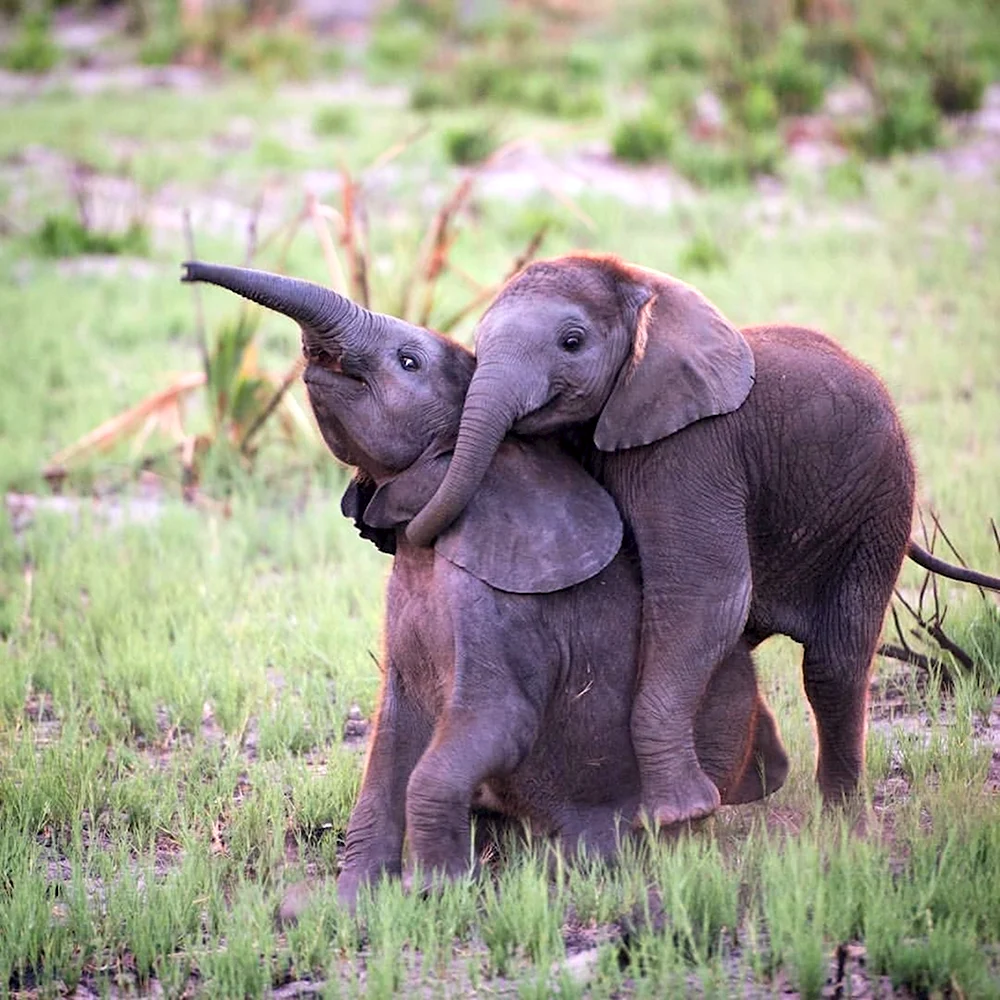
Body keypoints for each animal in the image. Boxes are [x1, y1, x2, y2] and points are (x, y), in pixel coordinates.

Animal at [180, 260, 788, 916]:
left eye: (409, 362)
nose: (187, 270)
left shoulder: (498, 616)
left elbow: (490, 725)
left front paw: (433, 893)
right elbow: (389, 742)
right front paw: (341, 905)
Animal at [404, 256, 1000, 828]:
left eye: (571, 342)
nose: (407, 525)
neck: (644, 290)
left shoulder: (693, 449)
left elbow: (706, 597)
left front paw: (674, 816)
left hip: (878, 502)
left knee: (834, 665)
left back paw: (841, 828)